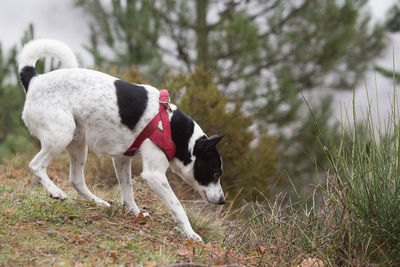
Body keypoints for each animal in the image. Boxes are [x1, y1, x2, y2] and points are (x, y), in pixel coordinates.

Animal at [18, 39, 225, 243]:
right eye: (215, 173)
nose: (223, 200)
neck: (172, 127)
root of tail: (35, 80)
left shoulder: (122, 160)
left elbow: (128, 193)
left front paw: (135, 213)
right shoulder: (155, 175)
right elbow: (177, 206)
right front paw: (190, 234)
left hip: (78, 143)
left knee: (76, 180)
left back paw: (97, 202)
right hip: (61, 135)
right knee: (36, 165)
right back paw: (56, 192)